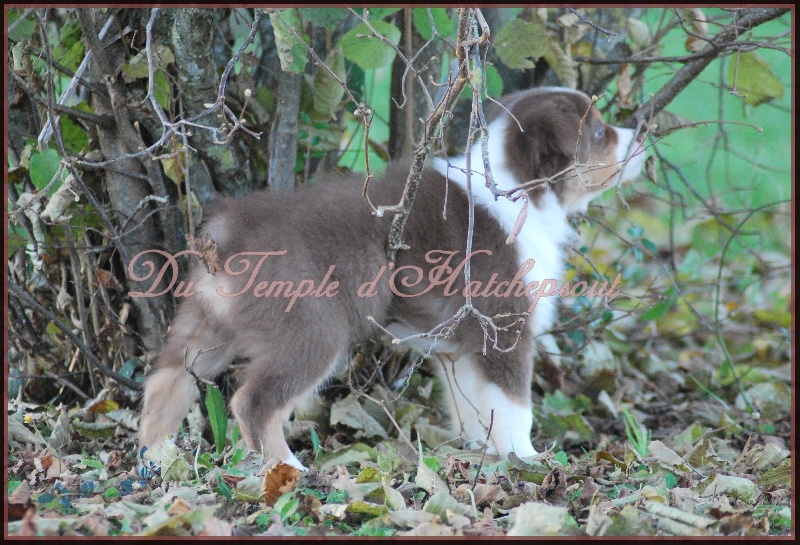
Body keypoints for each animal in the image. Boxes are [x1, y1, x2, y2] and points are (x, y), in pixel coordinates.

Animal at [141, 86, 648, 468]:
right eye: (599, 131)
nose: (643, 134)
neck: (520, 192)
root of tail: (228, 231)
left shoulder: (458, 348)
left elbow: (472, 407)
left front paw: (481, 453)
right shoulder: (504, 330)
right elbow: (515, 408)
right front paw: (528, 460)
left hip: (207, 322)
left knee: (166, 382)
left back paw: (155, 462)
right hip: (313, 330)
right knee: (254, 401)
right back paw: (286, 469)